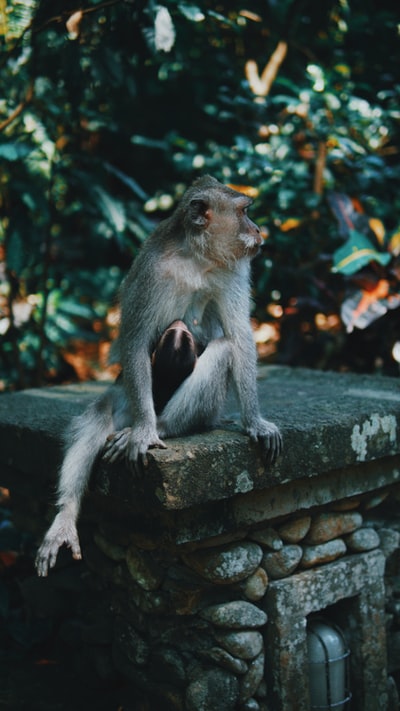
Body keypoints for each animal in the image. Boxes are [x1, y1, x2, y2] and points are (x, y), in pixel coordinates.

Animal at [36, 174, 282, 580]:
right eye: (245, 211)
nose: (259, 229)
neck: (196, 258)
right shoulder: (153, 272)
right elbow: (135, 342)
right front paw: (144, 433)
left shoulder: (232, 270)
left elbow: (239, 338)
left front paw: (256, 422)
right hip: (132, 398)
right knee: (100, 416)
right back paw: (70, 510)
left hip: (200, 411)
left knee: (221, 350)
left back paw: (166, 426)